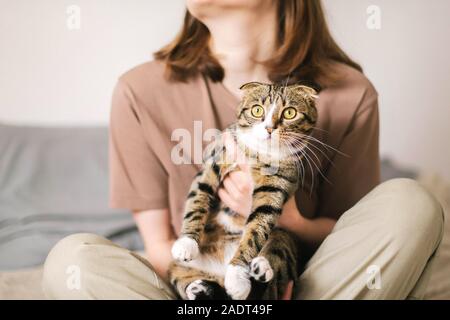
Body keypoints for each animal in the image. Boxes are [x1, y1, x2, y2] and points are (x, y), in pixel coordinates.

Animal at [169, 82, 320, 300]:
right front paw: (187, 243)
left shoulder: (275, 187)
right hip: (178, 269)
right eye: (257, 110)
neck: (258, 155)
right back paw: (199, 288)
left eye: (290, 113)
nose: (269, 128)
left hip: (284, 236)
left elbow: (256, 229)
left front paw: (238, 276)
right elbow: (197, 199)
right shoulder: (212, 164)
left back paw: (260, 269)